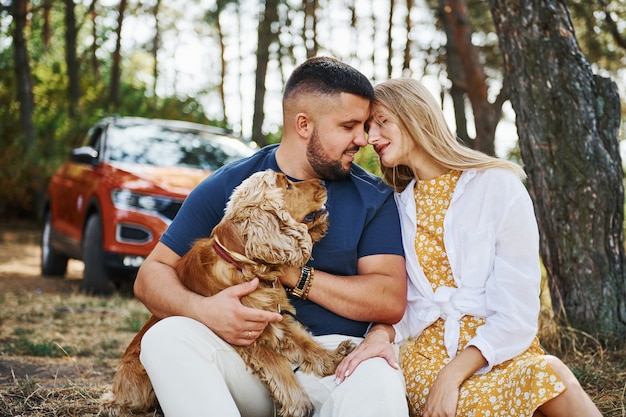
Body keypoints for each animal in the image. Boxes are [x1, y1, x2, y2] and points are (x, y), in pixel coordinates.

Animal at [103, 170, 356, 416]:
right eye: (287, 185)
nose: (322, 181)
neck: (245, 266)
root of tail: (118, 391)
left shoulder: (277, 318)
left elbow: (306, 344)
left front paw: (334, 358)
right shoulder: (243, 332)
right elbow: (276, 361)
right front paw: (298, 402)